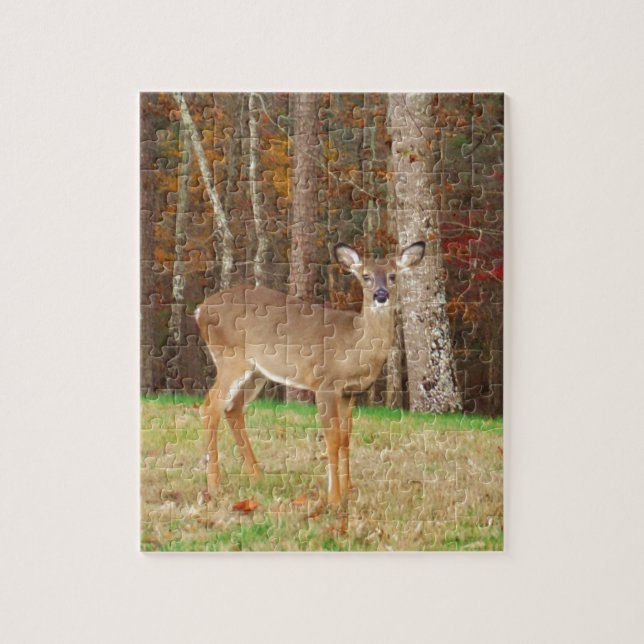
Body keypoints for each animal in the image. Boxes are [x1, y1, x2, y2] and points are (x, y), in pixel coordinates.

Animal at [195, 241, 426, 507]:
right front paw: (334, 498)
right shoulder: (325, 383)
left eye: (393, 275)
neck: (355, 344)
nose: (381, 295)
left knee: (232, 409)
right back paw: (215, 486)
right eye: (366, 276)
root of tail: (200, 310)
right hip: (231, 358)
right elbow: (332, 439)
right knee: (210, 407)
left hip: (256, 372)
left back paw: (258, 477)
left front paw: (349, 491)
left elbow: (346, 439)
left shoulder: (350, 392)